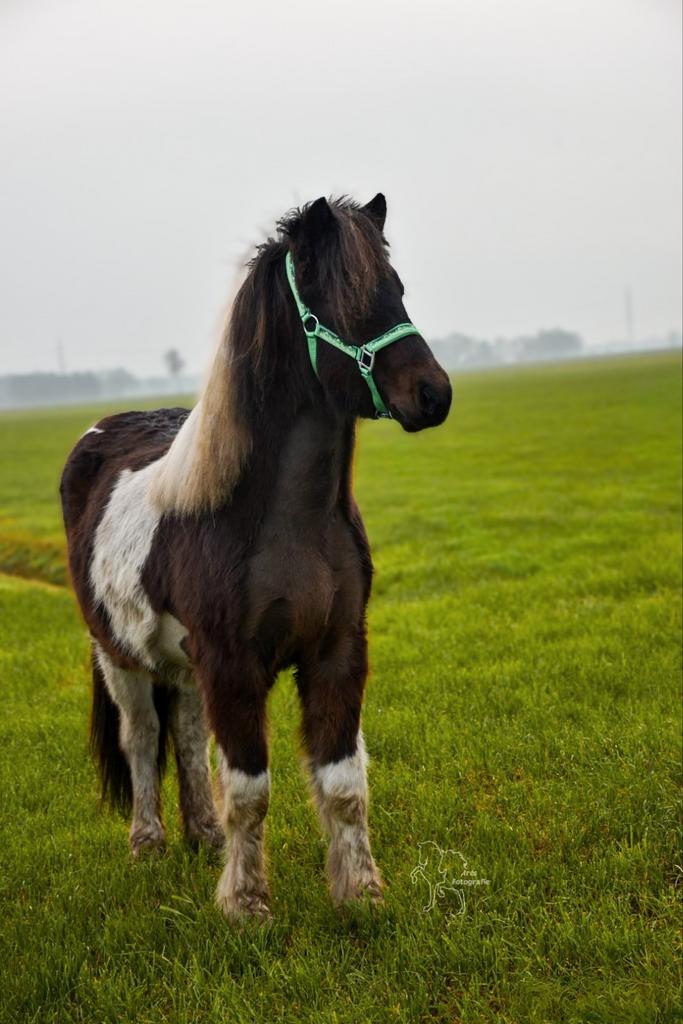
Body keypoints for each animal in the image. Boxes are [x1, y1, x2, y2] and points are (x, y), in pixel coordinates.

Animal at [60, 193, 452, 920]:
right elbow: (248, 788)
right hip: (117, 652)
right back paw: (149, 844)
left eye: (397, 289)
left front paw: (360, 894)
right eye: (338, 298)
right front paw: (246, 905)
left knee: (185, 731)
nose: (433, 394)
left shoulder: (336, 652)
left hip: (180, 662)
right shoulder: (233, 664)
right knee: (142, 736)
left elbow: (343, 782)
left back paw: (204, 836)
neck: (281, 523)